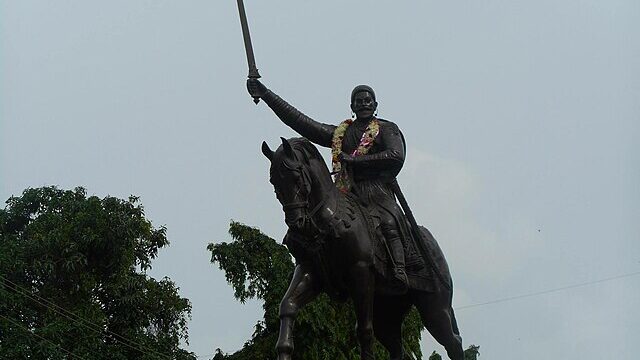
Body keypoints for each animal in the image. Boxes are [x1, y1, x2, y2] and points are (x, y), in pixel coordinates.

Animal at [262, 138, 464, 360]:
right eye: (273, 181)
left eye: (296, 176)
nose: (297, 224)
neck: (331, 219)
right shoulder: (309, 270)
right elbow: (287, 307)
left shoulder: (361, 272)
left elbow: (364, 331)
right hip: (388, 310)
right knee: (398, 348)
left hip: (435, 307)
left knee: (453, 341)